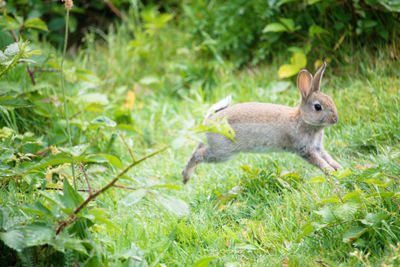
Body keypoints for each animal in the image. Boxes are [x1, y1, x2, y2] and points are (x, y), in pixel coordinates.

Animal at [181, 62, 340, 184]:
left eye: (330, 99)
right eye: (318, 107)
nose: (335, 119)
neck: (302, 120)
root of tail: (209, 121)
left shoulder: (317, 147)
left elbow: (327, 157)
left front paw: (339, 168)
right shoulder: (305, 149)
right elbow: (320, 162)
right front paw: (331, 172)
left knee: (199, 146)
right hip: (223, 152)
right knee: (199, 154)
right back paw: (185, 177)